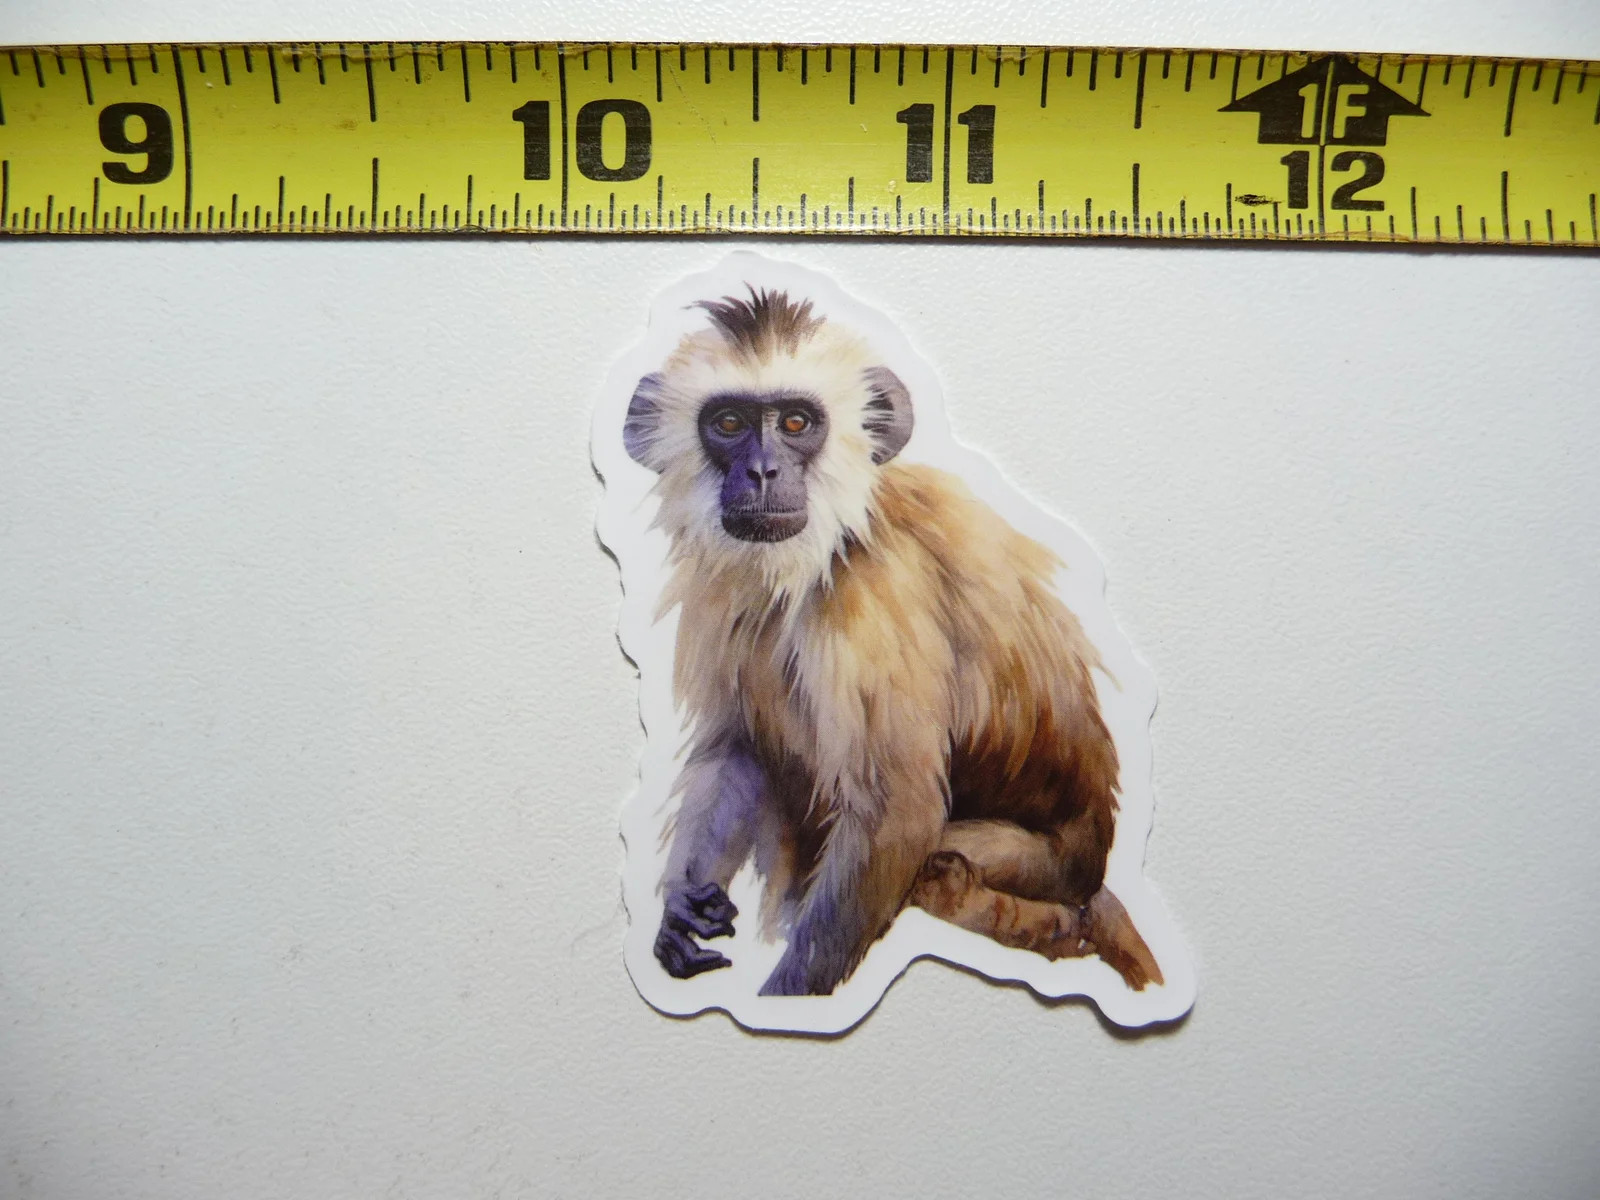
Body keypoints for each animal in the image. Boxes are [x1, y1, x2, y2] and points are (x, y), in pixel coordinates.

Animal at [622, 287, 1163, 998]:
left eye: (796, 423)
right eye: (731, 423)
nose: (763, 472)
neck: (830, 541)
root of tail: (1097, 858)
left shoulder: (874, 594)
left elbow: (896, 816)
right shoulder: (725, 589)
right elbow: (738, 748)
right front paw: (680, 906)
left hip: (1044, 864)